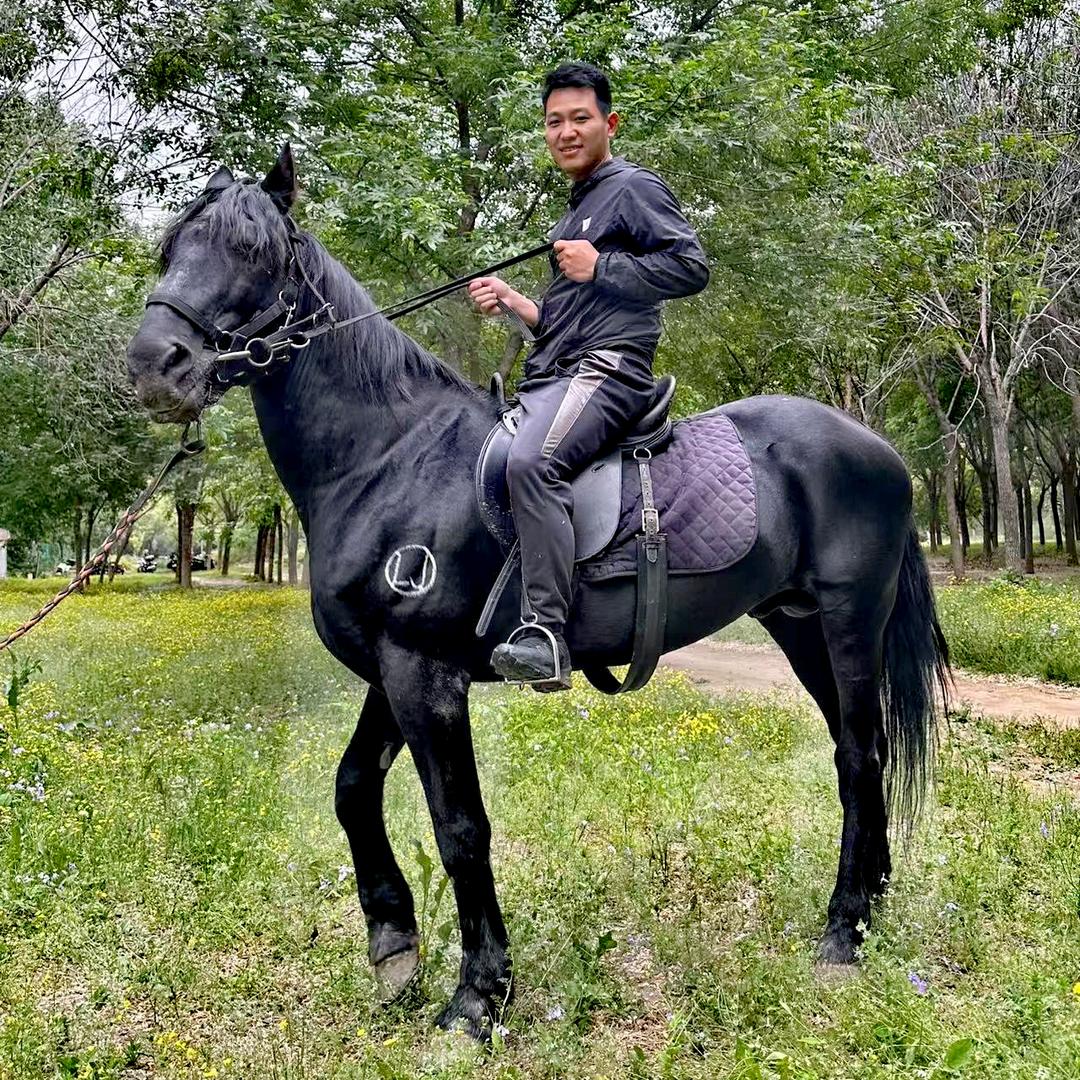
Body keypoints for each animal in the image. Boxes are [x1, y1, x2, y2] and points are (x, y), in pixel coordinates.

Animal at [125, 146, 950, 1039]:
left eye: (253, 252)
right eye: (172, 246)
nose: (154, 364)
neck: (390, 457)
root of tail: (876, 446)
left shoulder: (425, 673)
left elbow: (460, 828)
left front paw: (477, 996)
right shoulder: (397, 668)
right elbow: (351, 790)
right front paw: (393, 944)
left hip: (849, 620)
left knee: (862, 756)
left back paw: (841, 936)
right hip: (800, 626)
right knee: (856, 752)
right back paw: (866, 912)